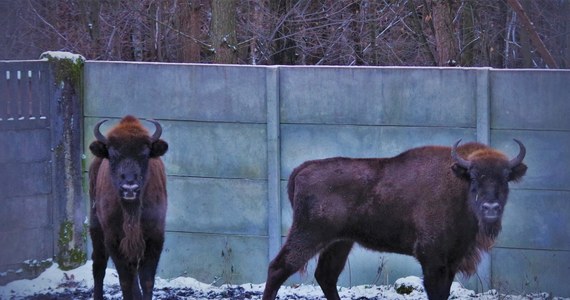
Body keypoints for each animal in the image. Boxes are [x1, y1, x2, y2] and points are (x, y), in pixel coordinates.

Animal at [86, 115, 166, 300]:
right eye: (113, 154)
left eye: (145, 154)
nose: (130, 187)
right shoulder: (113, 239)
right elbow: (125, 281)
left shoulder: (154, 237)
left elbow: (147, 280)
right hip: (96, 227)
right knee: (99, 264)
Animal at [260, 139, 524, 300]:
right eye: (475, 177)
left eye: (505, 178)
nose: (491, 208)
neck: (457, 185)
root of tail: (303, 168)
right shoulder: (431, 257)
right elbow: (436, 291)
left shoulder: (452, 260)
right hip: (309, 234)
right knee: (278, 267)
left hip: (340, 242)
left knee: (326, 275)